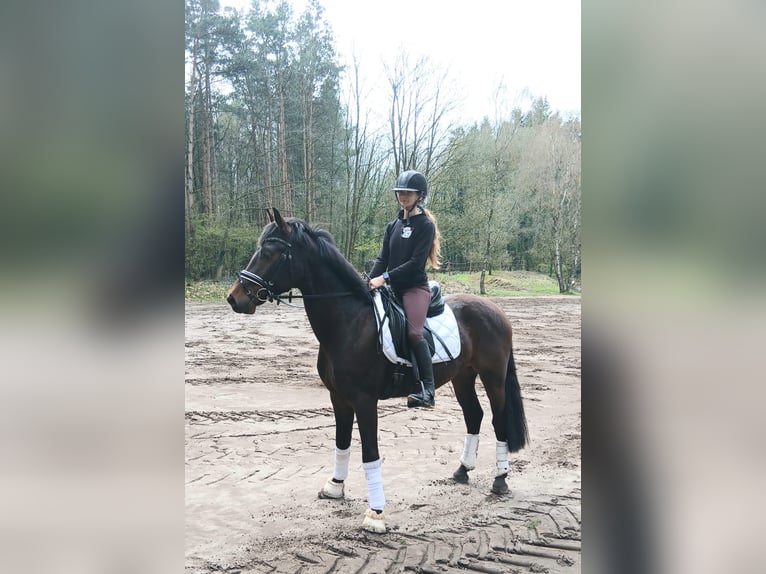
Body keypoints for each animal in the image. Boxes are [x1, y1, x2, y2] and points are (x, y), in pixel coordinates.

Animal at [226, 208, 528, 533]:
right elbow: (342, 442)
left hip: (493, 377)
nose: (234, 297)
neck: (350, 323)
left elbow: (370, 453)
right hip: (462, 377)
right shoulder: (338, 398)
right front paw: (335, 487)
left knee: (498, 420)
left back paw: (500, 480)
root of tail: (496, 310)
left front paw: (376, 514)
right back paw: (462, 471)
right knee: (474, 416)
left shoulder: (364, 400)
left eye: (270, 252)